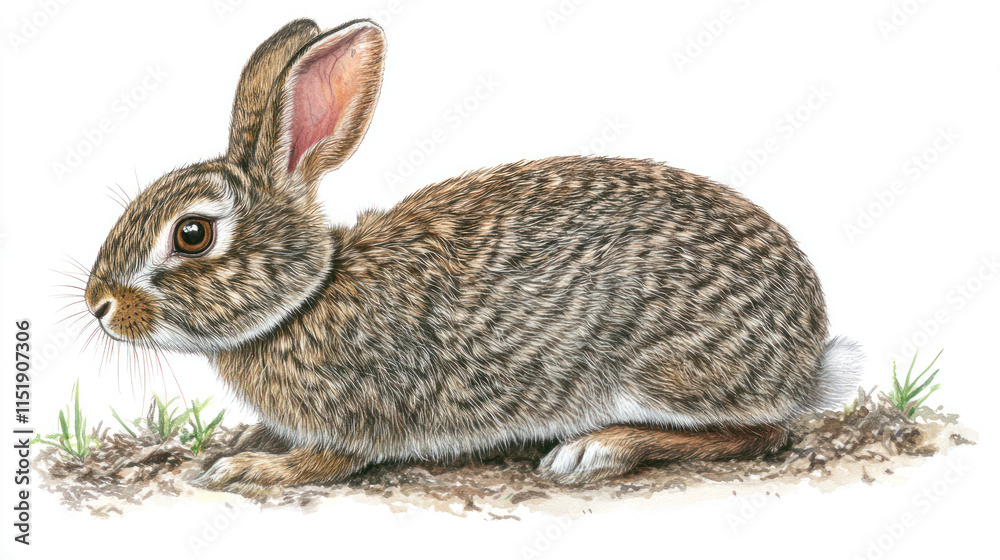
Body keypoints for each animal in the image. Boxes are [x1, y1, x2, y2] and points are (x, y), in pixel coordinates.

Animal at [83, 18, 861, 497]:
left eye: (192, 234)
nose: (100, 305)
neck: (309, 295)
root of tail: (808, 348)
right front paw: (228, 445)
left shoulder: (364, 407)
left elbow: (324, 460)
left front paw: (243, 468)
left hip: (666, 369)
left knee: (759, 433)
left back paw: (596, 449)